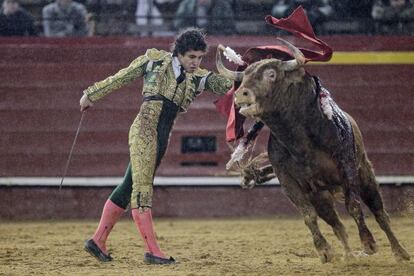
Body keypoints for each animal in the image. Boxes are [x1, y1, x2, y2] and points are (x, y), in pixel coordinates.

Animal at [217, 39, 410, 264]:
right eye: (244, 76)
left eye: (271, 74)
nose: (241, 94)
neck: (299, 140)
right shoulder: (288, 181)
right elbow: (308, 215)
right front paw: (324, 250)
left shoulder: (347, 167)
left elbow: (353, 205)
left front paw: (368, 243)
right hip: (321, 196)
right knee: (337, 224)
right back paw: (349, 256)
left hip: (365, 175)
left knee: (379, 213)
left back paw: (400, 252)